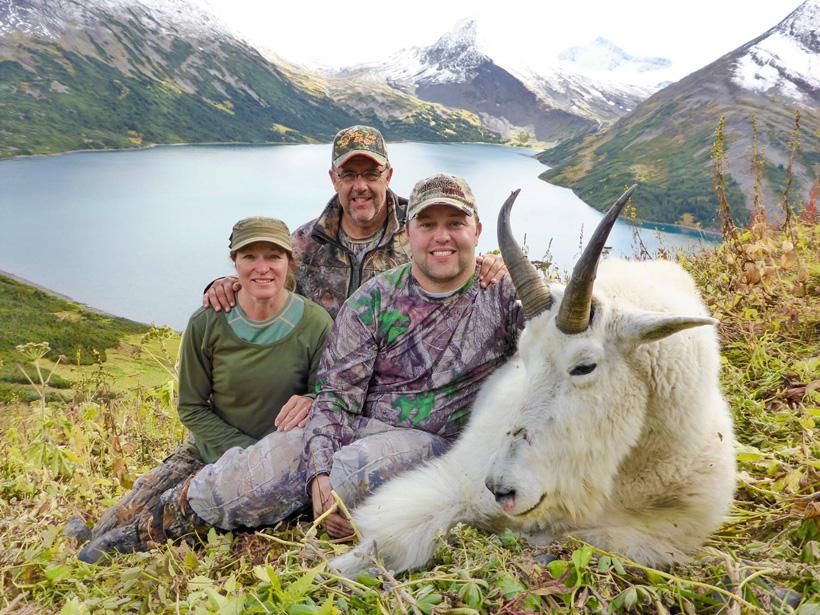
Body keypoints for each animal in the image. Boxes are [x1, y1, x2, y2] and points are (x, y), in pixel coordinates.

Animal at [331, 186, 736, 575]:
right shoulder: (454, 483)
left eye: (584, 366)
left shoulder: (665, 529)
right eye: (522, 356)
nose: (501, 488)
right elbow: (390, 538)